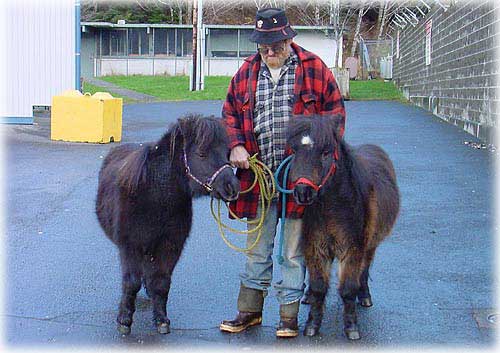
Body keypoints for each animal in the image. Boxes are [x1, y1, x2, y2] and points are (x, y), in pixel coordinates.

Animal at [96, 114, 241, 334]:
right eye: (201, 153)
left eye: (227, 154)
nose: (232, 188)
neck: (154, 195)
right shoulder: (130, 246)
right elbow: (131, 283)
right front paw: (124, 320)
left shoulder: (170, 246)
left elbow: (162, 282)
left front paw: (161, 319)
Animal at [288, 114, 400, 340]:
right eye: (294, 151)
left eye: (325, 152)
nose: (303, 192)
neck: (335, 206)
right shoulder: (316, 248)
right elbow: (319, 287)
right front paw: (312, 325)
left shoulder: (353, 249)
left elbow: (348, 288)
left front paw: (352, 327)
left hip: (370, 245)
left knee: (364, 270)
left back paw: (364, 297)